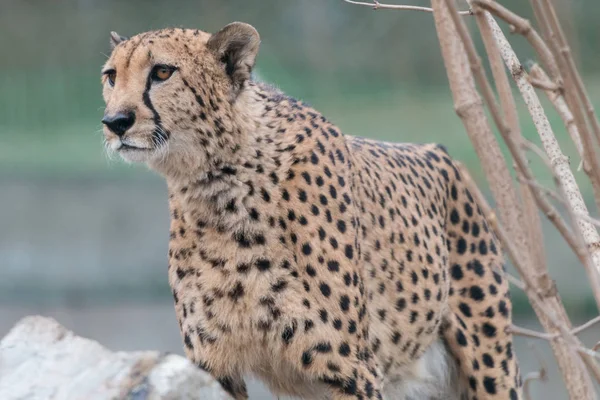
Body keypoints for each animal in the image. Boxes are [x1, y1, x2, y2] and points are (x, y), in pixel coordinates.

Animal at [102, 22, 520, 400]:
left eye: (162, 72)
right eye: (111, 76)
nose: (115, 122)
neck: (217, 187)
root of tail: (438, 150)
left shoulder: (352, 369)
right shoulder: (213, 366)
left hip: (490, 360)